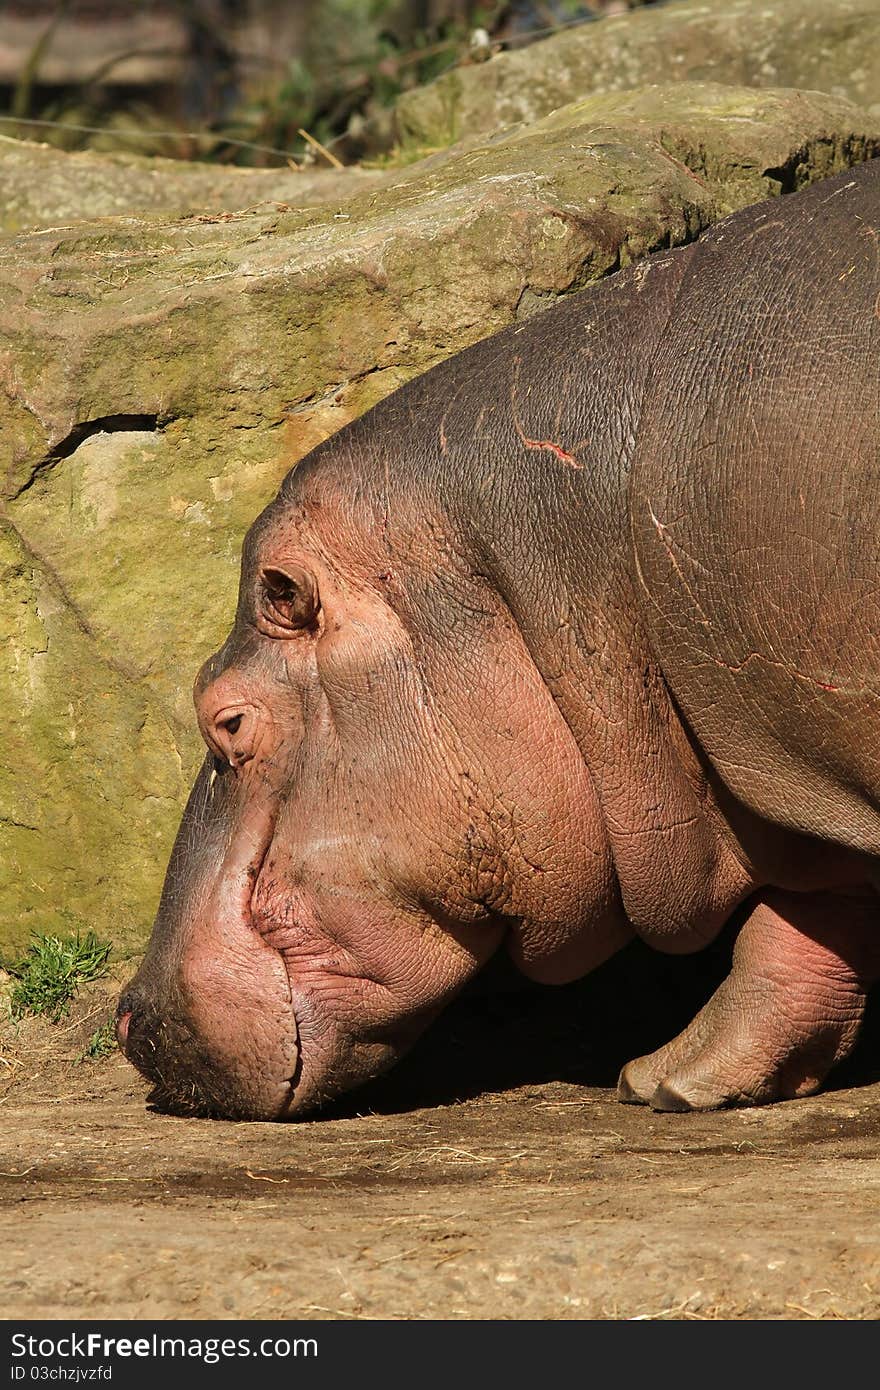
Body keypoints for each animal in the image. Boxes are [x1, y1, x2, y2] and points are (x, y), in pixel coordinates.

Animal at [116, 159, 878, 1117]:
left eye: (225, 720)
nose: (125, 1014)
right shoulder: (790, 756)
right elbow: (812, 918)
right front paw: (676, 1081)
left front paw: (655, 1083)